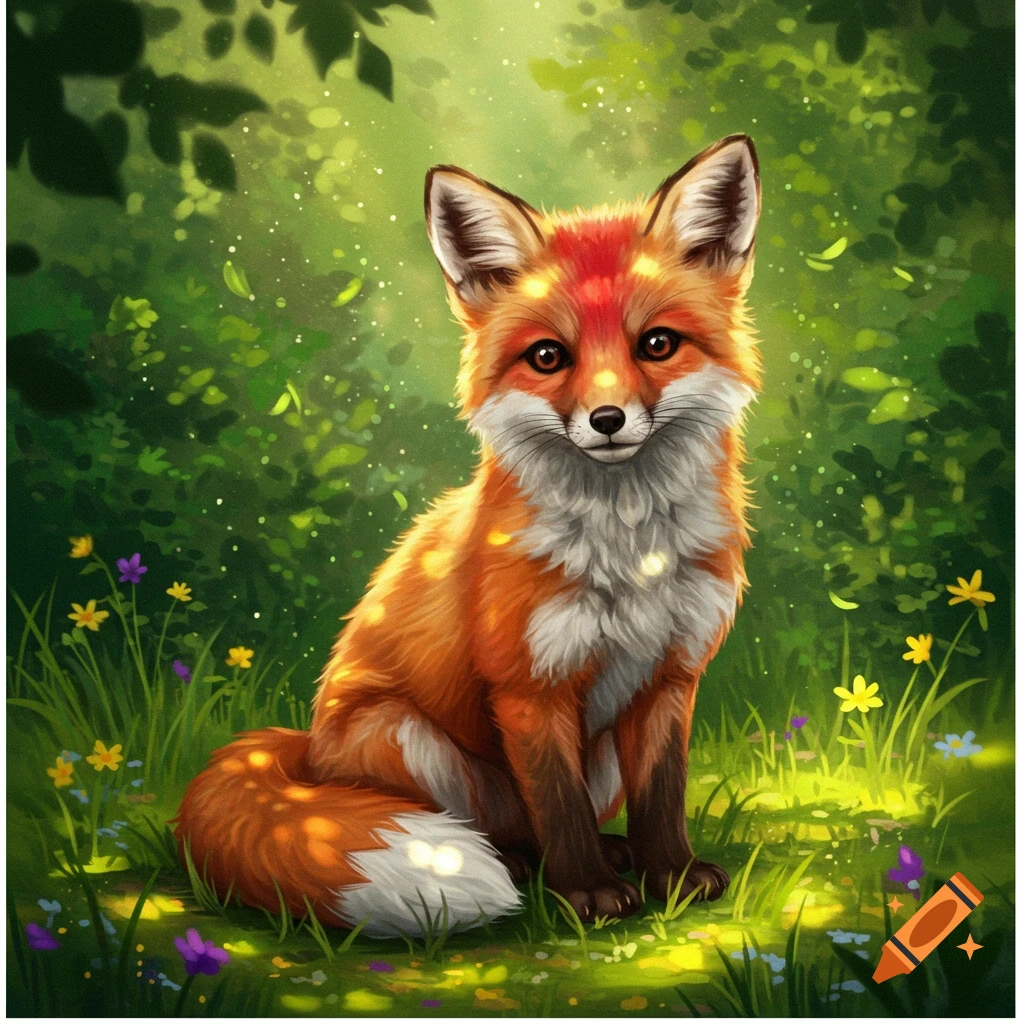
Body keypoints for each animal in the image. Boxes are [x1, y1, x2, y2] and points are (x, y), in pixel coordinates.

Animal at [175, 134, 762, 937]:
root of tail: (309, 753)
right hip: (407, 737)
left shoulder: (670, 675)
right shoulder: (527, 686)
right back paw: (525, 869)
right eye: (548, 356)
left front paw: (670, 875)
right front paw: (587, 896)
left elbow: (663, 796)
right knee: (502, 831)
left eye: (658, 344)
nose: (607, 420)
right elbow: (558, 805)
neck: (627, 554)